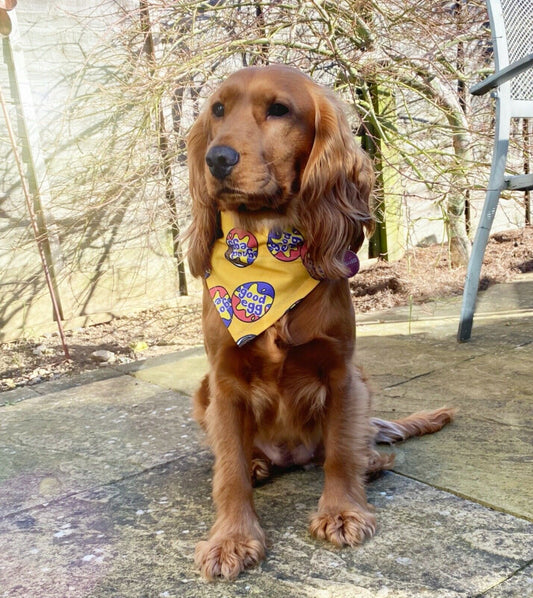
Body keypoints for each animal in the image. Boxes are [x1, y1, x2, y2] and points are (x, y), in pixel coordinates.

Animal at [184, 64, 454, 580]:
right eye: (218, 110)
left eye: (279, 109)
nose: (217, 158)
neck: (266, 252)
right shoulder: (224, 382)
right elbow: (228, 473)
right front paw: (232, 539)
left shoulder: (341, 372)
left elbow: (341, 455)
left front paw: (342, 512)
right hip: (202, 392)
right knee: (239, 457)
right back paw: (258, 464)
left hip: (361, 382)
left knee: (345, 448)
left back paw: (372, 460)